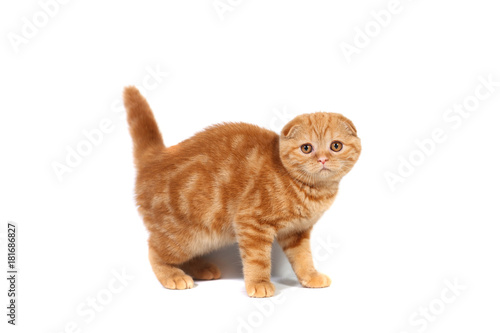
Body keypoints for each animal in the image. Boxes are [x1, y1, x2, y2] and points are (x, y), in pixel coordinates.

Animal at [123, 85, 362, 296]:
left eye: (336, 146)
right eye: (306, 148)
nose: (322, 159)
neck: (310, 190)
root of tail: (157, 157)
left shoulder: (297, 232)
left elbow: (303, 258)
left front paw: (310, 276)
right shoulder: (251, 223)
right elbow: (258, 260)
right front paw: (259, 284)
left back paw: (202, 269)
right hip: (183, 236)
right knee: (154, 251)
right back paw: (172, 276)